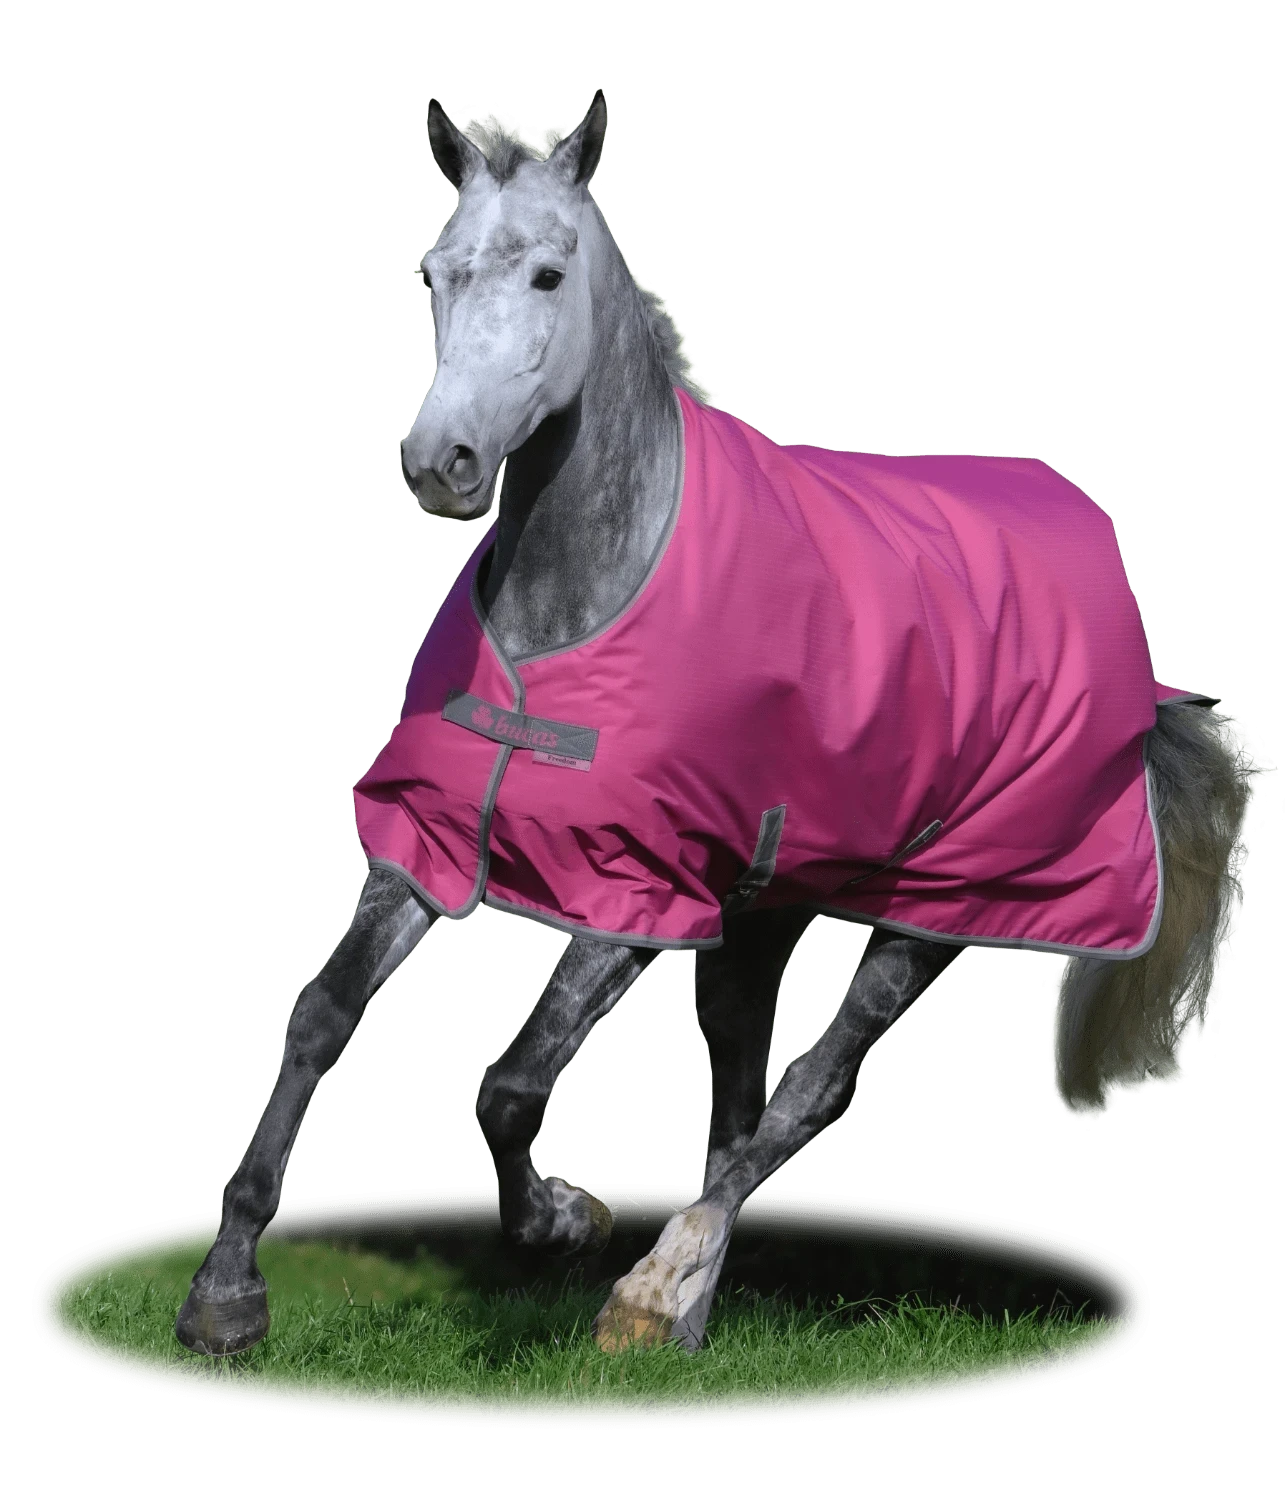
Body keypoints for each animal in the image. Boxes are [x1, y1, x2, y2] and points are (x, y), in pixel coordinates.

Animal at [175, 91, 1254, 1360]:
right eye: (431, 274)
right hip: (764, 911)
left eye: (549, 273)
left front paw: (560, 1219)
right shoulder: (425, 848)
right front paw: (225, 1296)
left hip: (936, 915)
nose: (441, 462)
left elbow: (509, 1084)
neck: (574, 608)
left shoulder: (639, 888)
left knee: (801, 1100)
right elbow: (318, 1021)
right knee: (738, 1101)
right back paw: (689, 1311)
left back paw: (654, 1289)